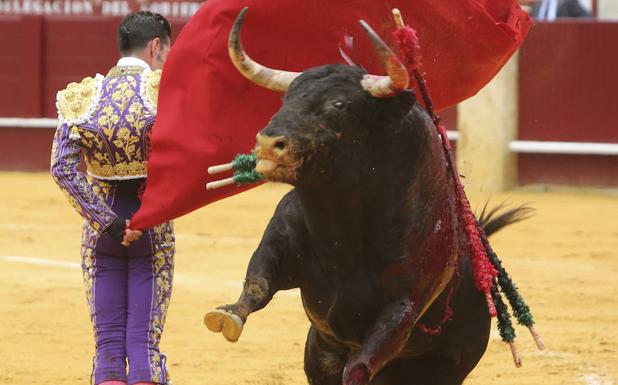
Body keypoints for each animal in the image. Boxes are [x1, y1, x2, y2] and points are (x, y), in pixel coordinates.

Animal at [205, 8, 528, 380]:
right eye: (287, 98)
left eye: (339, 104)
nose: (269, 144)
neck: (340, 221)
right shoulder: (279, 245)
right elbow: (257, 283)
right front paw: (227, 315)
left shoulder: (402, 308)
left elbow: (360, 366)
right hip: (318, 351)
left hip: (449, 367)